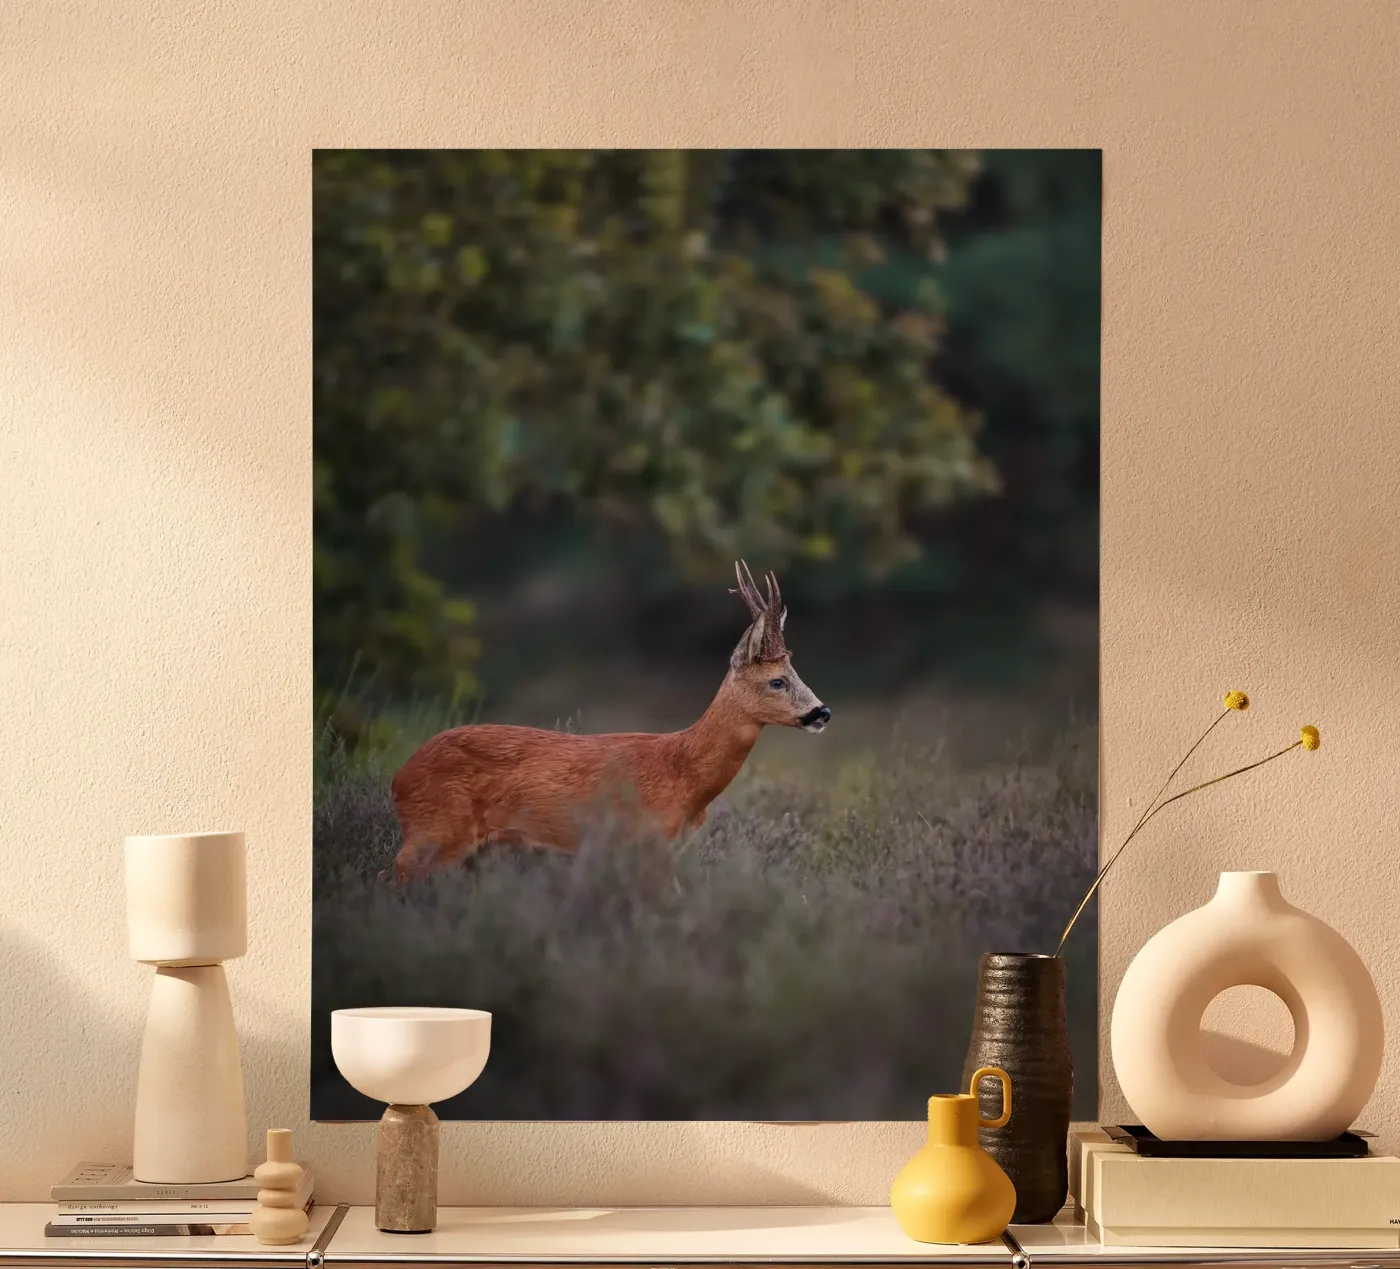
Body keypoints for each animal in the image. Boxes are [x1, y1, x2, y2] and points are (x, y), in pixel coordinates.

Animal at [385, 561, 831, 884]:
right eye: (777, 680)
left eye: (795, 672)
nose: (821, 712)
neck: (684, 776)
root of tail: (399, 778)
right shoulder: (645, 842)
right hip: (435, 832)